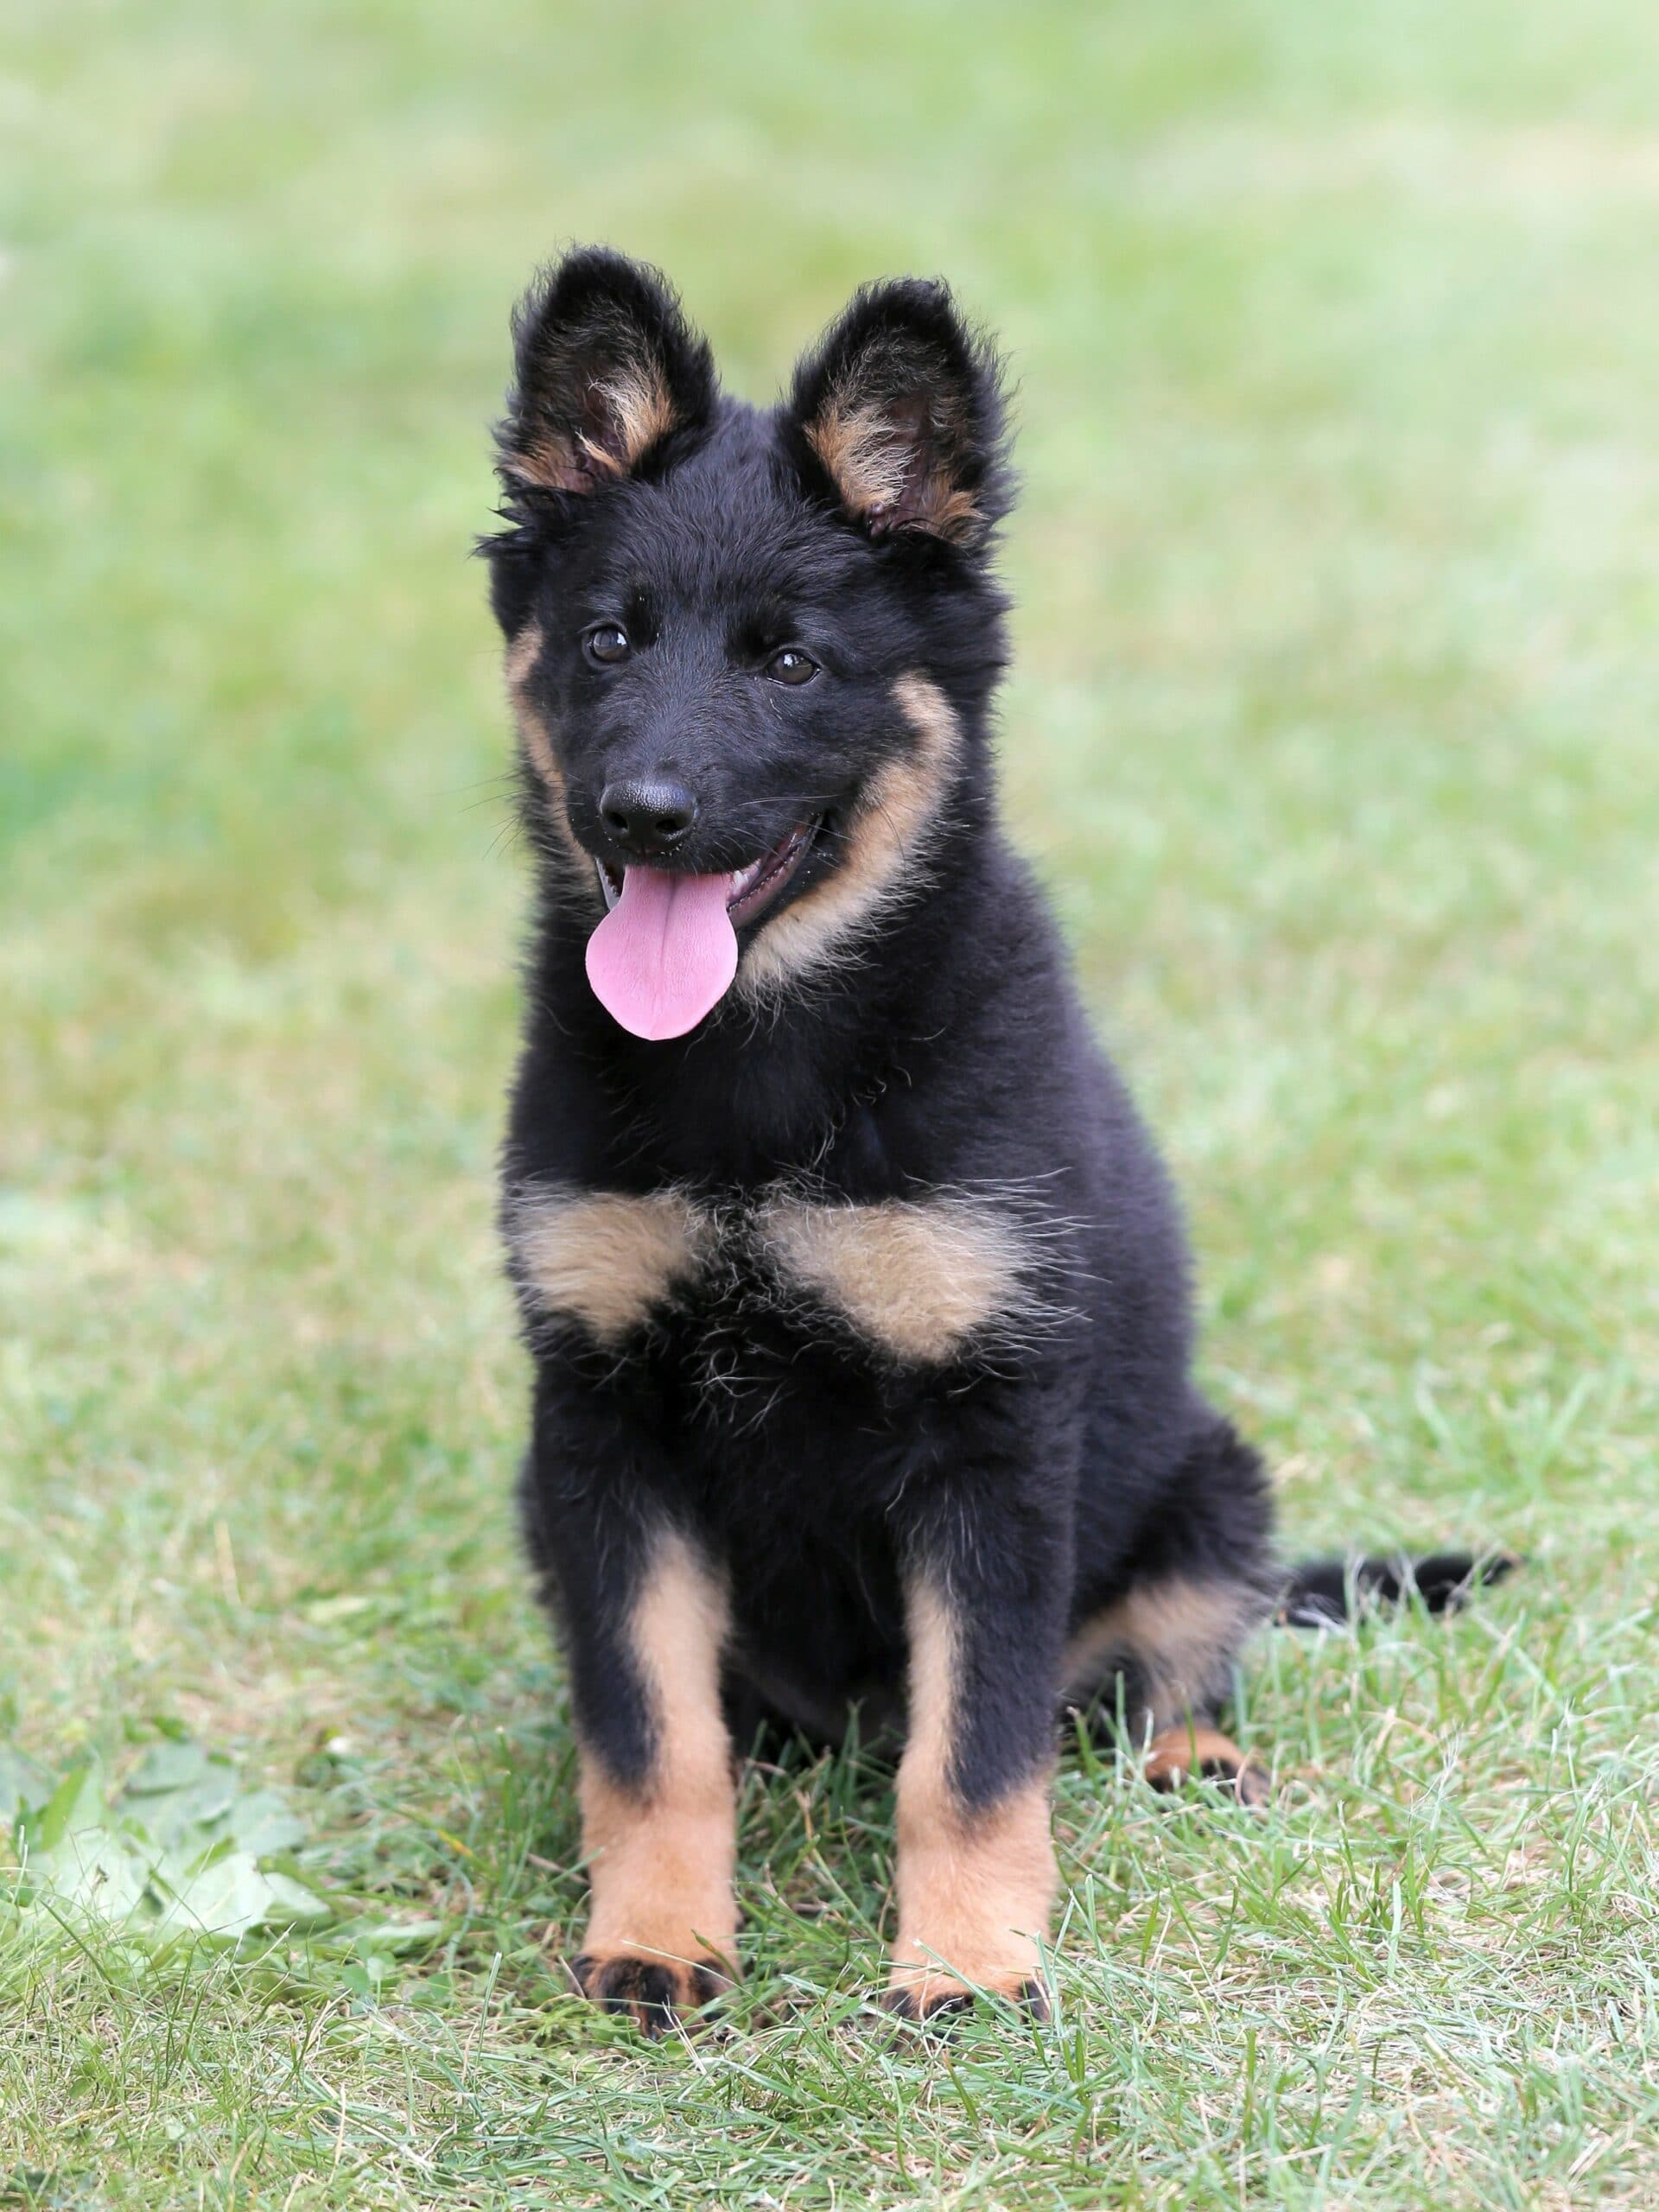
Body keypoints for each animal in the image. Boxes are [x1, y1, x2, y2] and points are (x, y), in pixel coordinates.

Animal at [484, 246, 1503, 2035]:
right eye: (607, 641)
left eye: (793, 664)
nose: (642, 813)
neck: (766, 1066)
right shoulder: (605, 1432)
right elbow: (652, 1737)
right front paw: (661, 1934)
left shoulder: (994, 1443)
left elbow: (970, 1753)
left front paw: (965, 1967)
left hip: (1206, 1481)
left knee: (1169, 1659)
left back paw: (1197, 1757)